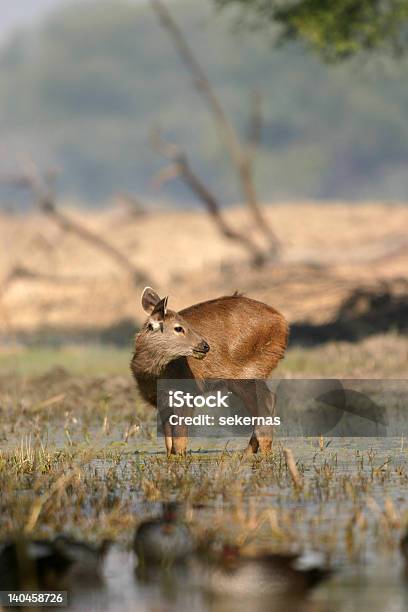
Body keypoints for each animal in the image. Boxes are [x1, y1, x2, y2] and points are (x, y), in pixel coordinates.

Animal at [130, 290, 286, 456]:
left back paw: (262, 452)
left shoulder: (186, 392)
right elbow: (168, 443)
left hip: (247, 372)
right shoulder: (162, 401)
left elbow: (179, 441)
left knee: (266, 400)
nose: (205, 346)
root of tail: (282, 322)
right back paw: (249, 451)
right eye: (178, 328)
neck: (155, 375)